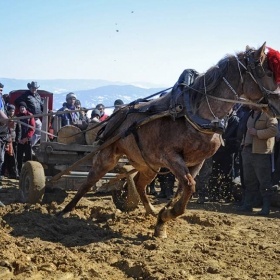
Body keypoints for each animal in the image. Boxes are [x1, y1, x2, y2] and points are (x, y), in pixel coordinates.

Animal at [60, 42, 280, 238]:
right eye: (268, 73)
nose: (278, 104)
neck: (197, 113)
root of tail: (117, 114)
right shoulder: (171, 157)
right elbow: (189, 186)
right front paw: (166, 216)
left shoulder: (197, 161)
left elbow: (184, 188)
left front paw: (162, 219)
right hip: (108, 155)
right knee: (89, 181)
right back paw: (65, 210)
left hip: (148, 164)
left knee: (139, 183)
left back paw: (150, 210)